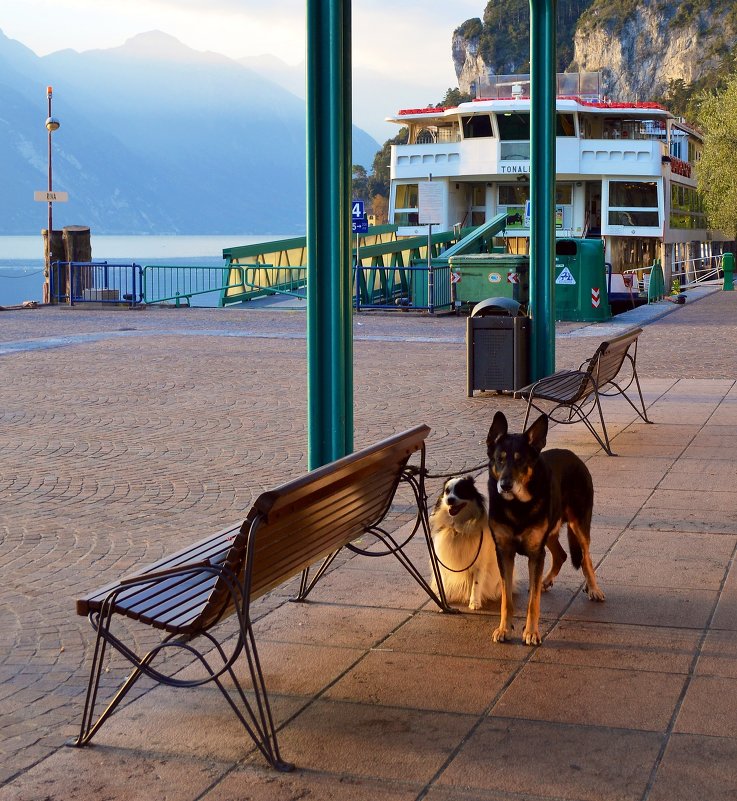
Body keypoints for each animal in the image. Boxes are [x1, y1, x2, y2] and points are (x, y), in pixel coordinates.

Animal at [428, 476, 504, 608]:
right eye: (447, 491)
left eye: (461, 490)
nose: (450, 500)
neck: (457, 529)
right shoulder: (443, 561)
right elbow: (443, 581)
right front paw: (444, 600)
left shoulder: (479, 562)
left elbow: (476, 584)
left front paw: (474, 602)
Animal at [484, 412, 604, 644]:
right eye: (499, 459)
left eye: (520, 460)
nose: (505, 485)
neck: (517, 505)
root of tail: (573, 456)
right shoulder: (504, 552)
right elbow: (506, 598)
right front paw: (504, 628)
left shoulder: (535, 554)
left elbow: (533, 602)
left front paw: (531, 632)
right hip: (549, 532)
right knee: (561, 555)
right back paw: (545, 581)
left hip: (578, 525)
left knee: (585, 557)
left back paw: (593, 588)